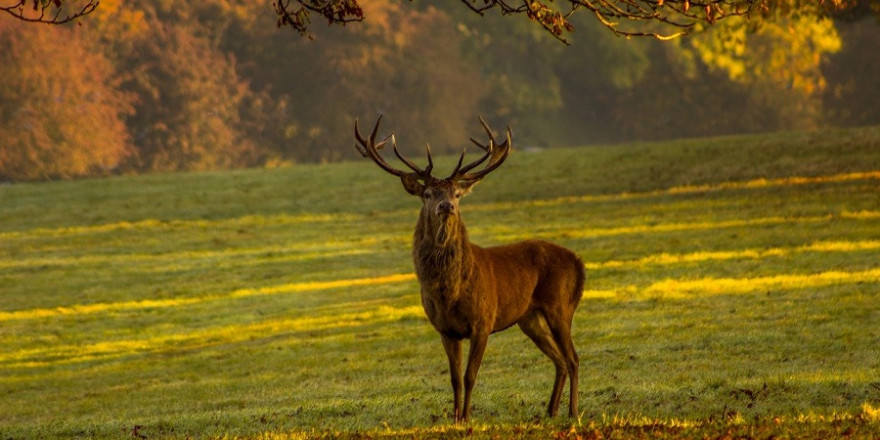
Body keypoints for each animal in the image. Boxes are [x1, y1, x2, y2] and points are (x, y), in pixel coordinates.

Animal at [354, 114, 588, 422]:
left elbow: (470, 376)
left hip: (560, 305)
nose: (446, 206)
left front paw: (467, 417)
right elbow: (454, 378)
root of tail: (578, 262)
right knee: (559, 359)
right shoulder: (445, 329)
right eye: (427, 193)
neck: (450, 292)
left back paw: (573, 411)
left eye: (456, 193)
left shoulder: (483, 321)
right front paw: (454, 418)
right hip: (529, 317)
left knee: (573, 357)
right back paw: (550, 410)